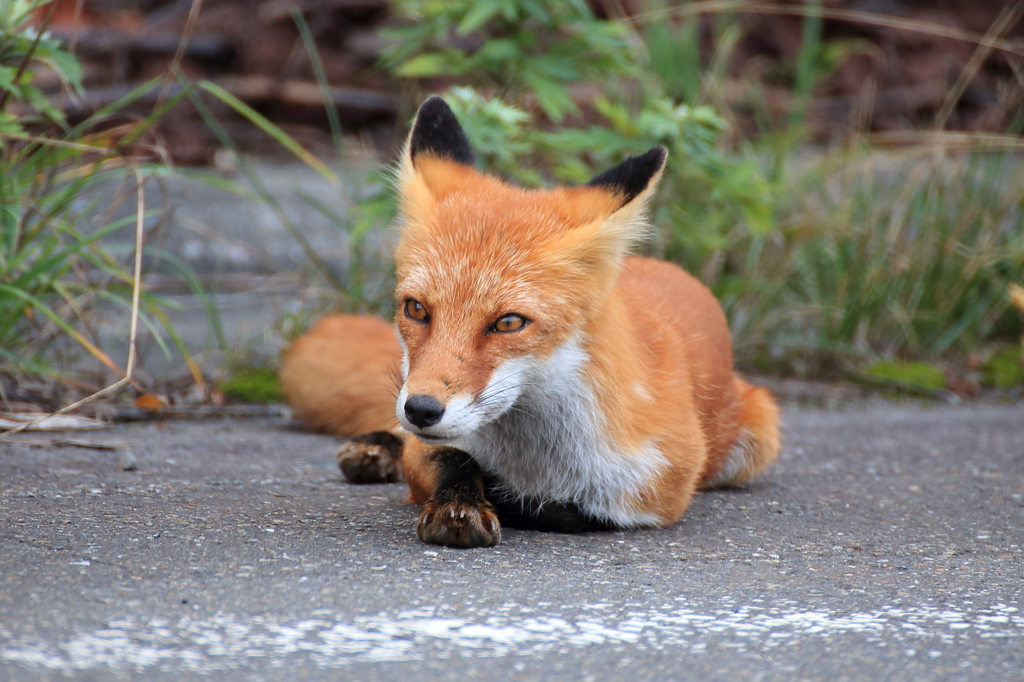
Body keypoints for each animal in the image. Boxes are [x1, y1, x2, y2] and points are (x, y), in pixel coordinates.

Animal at [276, 96, 778, 548]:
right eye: (416, 309)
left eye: (508, 323)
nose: (421, 408)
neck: (536, 458)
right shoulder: (433, 442)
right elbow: (451, 461)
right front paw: (458, 502)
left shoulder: (655, 493)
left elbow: (556, 511)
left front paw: (498, 499)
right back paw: (378, 446)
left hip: (758, 435)